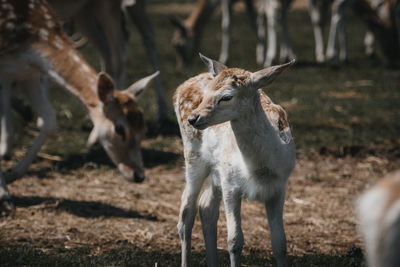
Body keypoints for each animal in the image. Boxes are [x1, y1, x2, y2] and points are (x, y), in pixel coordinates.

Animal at [0, 0, 159, 213]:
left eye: (144, 130)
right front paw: (4, 194)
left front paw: (11, 174)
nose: (139, 175)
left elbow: (50, 120)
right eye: (119, 129)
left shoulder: (25, 72)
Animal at [173, 53, 296, 266]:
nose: (193, 118)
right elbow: (234, 241)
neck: (260, 169)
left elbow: (280, 243)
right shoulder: (231, 184)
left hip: (217, 170)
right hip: (193, 156)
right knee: (186, 212)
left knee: (206, 206)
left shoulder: (279, 187)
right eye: (207, 92)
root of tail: (180, 88)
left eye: (227, 96)